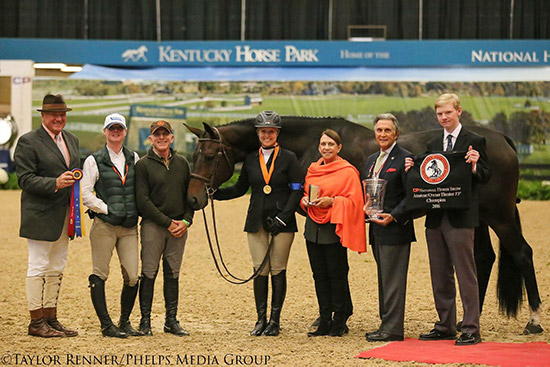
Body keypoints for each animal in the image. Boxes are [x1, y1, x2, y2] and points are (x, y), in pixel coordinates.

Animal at [185, 116, 544, 334]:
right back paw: (468, 321)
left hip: (500, 216)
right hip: (477, 218)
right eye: (195, 154)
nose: (193, 198)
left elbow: (336, 268)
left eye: (210, 155)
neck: (308, 144)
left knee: (522, 254)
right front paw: (334, 319)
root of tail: (499, 140)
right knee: (483, 259)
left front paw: (337, 319)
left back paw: (534, 320)